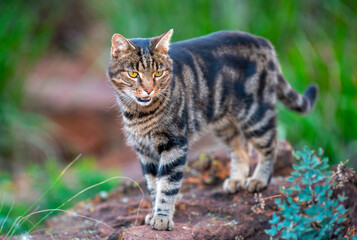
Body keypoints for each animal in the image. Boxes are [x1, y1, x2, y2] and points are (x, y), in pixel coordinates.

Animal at [105, 29, 318, 231]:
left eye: (158, 74)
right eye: (134, 74)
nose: (149, 90)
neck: (140, 113)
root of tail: (262, 41)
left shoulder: (174, 145)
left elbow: (167, 187)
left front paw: (162, 218)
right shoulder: (144, 150)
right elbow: (152, 186)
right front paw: (154, 212)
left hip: (256, 115)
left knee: (270, 145)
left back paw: (259, 179)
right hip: (226, 125)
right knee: (242, 148)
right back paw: (237, 180)